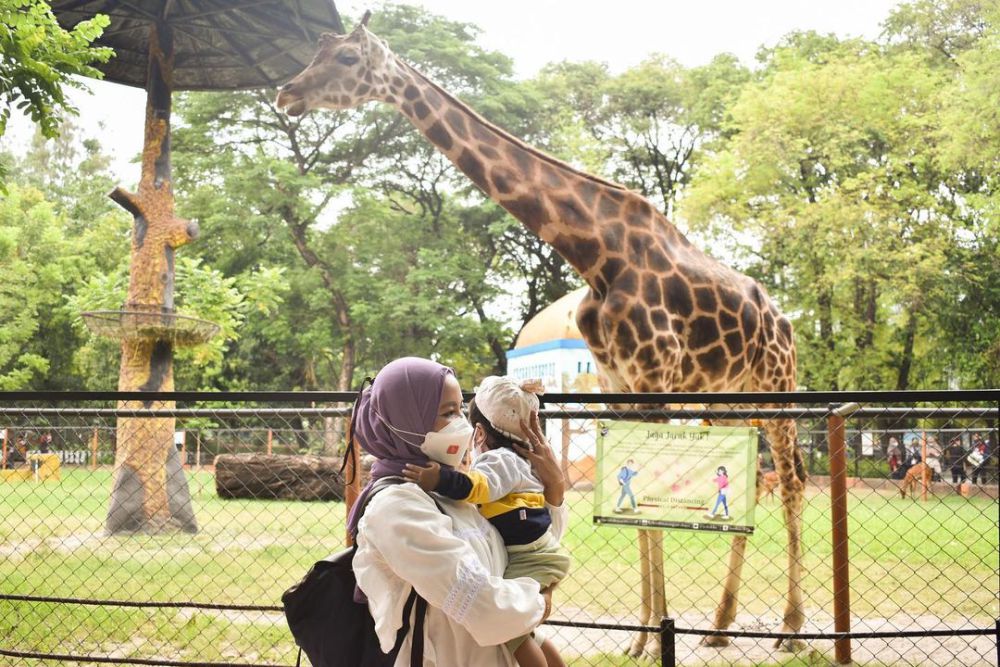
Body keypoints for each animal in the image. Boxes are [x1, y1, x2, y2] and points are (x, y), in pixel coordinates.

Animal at [278, 13, 808, 656]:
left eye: (349, 59)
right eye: (319, 52)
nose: (286, 94)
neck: (597, 255)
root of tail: (784, 320)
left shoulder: (653, 380)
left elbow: (647, 509)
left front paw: (655, 636)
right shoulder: (619, 385)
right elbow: (635, 508)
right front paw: (641, 638)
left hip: (776, 390)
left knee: (794, 481)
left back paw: (791, 630)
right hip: (727, 402)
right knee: (755, 480)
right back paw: (721, 627)